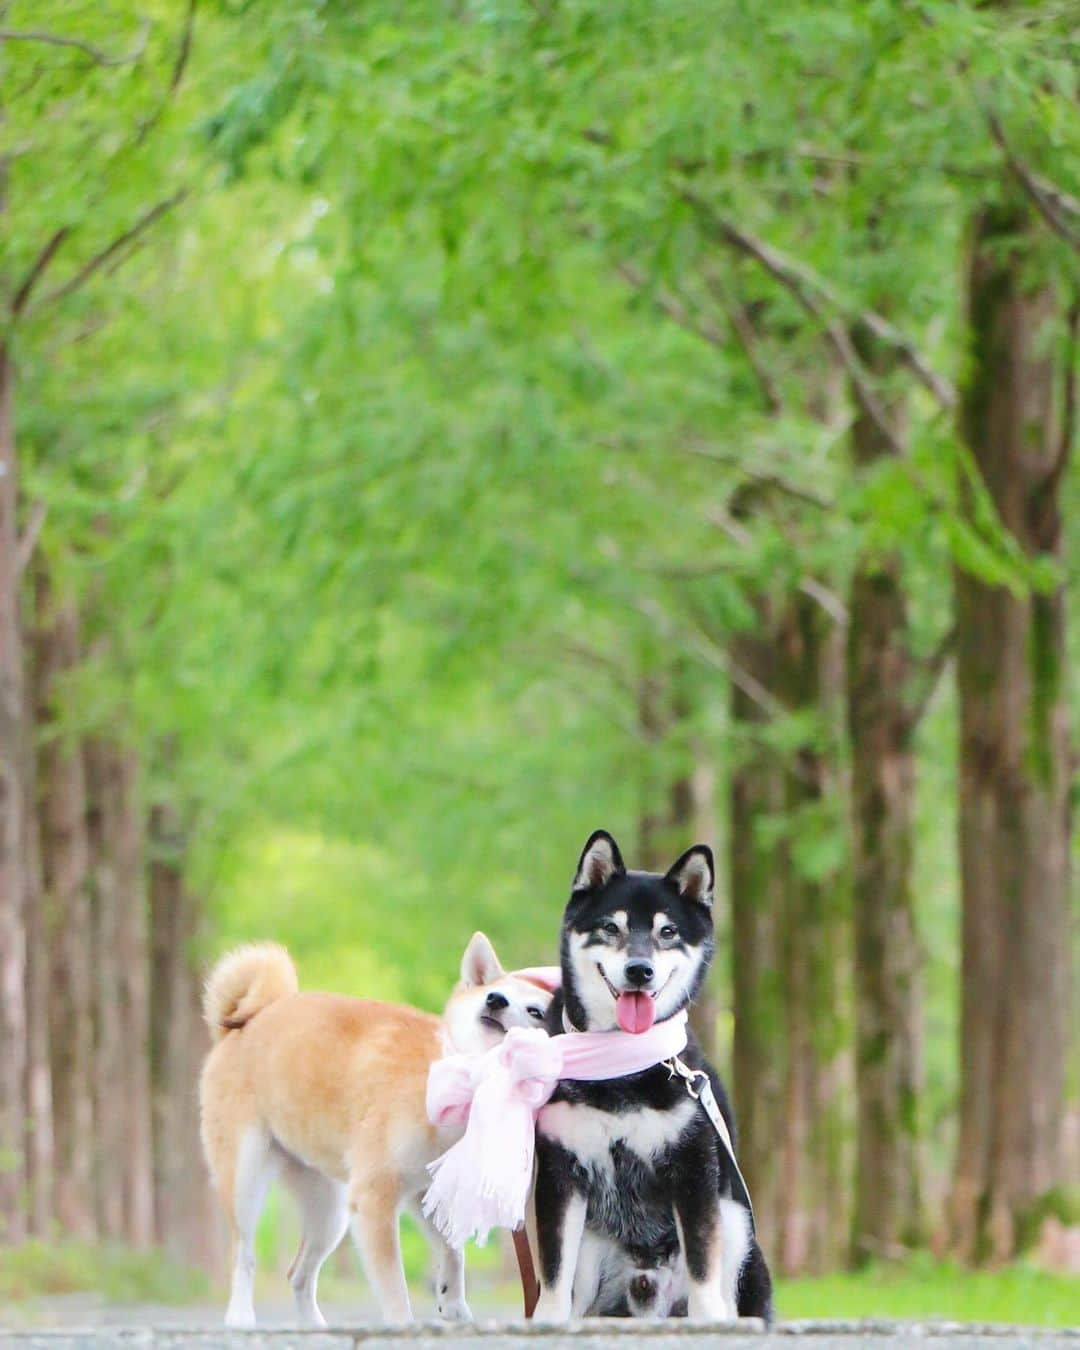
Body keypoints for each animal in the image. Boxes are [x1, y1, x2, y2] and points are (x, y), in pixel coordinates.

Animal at [198, 934, 553, 1323]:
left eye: (536, 1011)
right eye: (493, 992)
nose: (495, 1000)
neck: (460, 1078)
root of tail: (248, 1022)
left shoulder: (425, 1191)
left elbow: (453, 1253)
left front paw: (453, 1308)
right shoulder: (374, 1196)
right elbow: (395, 1287)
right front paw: (408, 1324)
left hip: (330, 1210)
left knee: (298, 1275)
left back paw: (316, 1328)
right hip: (247, 1179)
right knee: (243, 1254)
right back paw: (240, 1316)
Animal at [529, 826, 766, 1323]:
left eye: (668, 931)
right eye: (611, 927)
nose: (640, 970)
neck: (619, 1061)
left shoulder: (694, 1169)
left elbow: (702, 1262)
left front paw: (708, 1321)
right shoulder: (560, 1172)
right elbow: (554, 1270)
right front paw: (547, 1322)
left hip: (737, 1225)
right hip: (594, 1254)